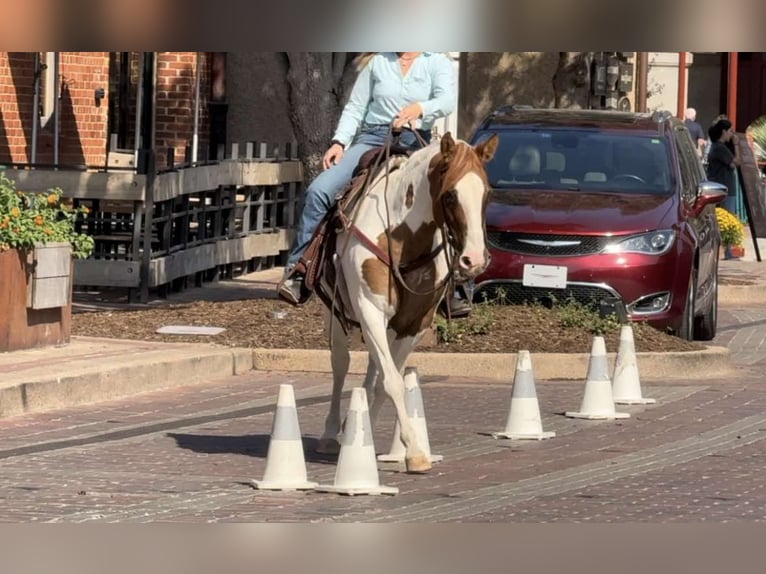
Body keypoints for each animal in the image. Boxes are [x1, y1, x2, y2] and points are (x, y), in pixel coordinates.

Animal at [315, 131, 499, 473]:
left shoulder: (414, 322)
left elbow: (388, 379)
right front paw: (414, 451)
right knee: (340, 365)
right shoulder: (370, 310)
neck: (403, 241)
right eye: (450, 195)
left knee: (373, 367)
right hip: (336, 313)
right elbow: (391, 381)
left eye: (488, 194)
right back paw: (330, 434)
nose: (475, 260)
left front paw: (382, 442)